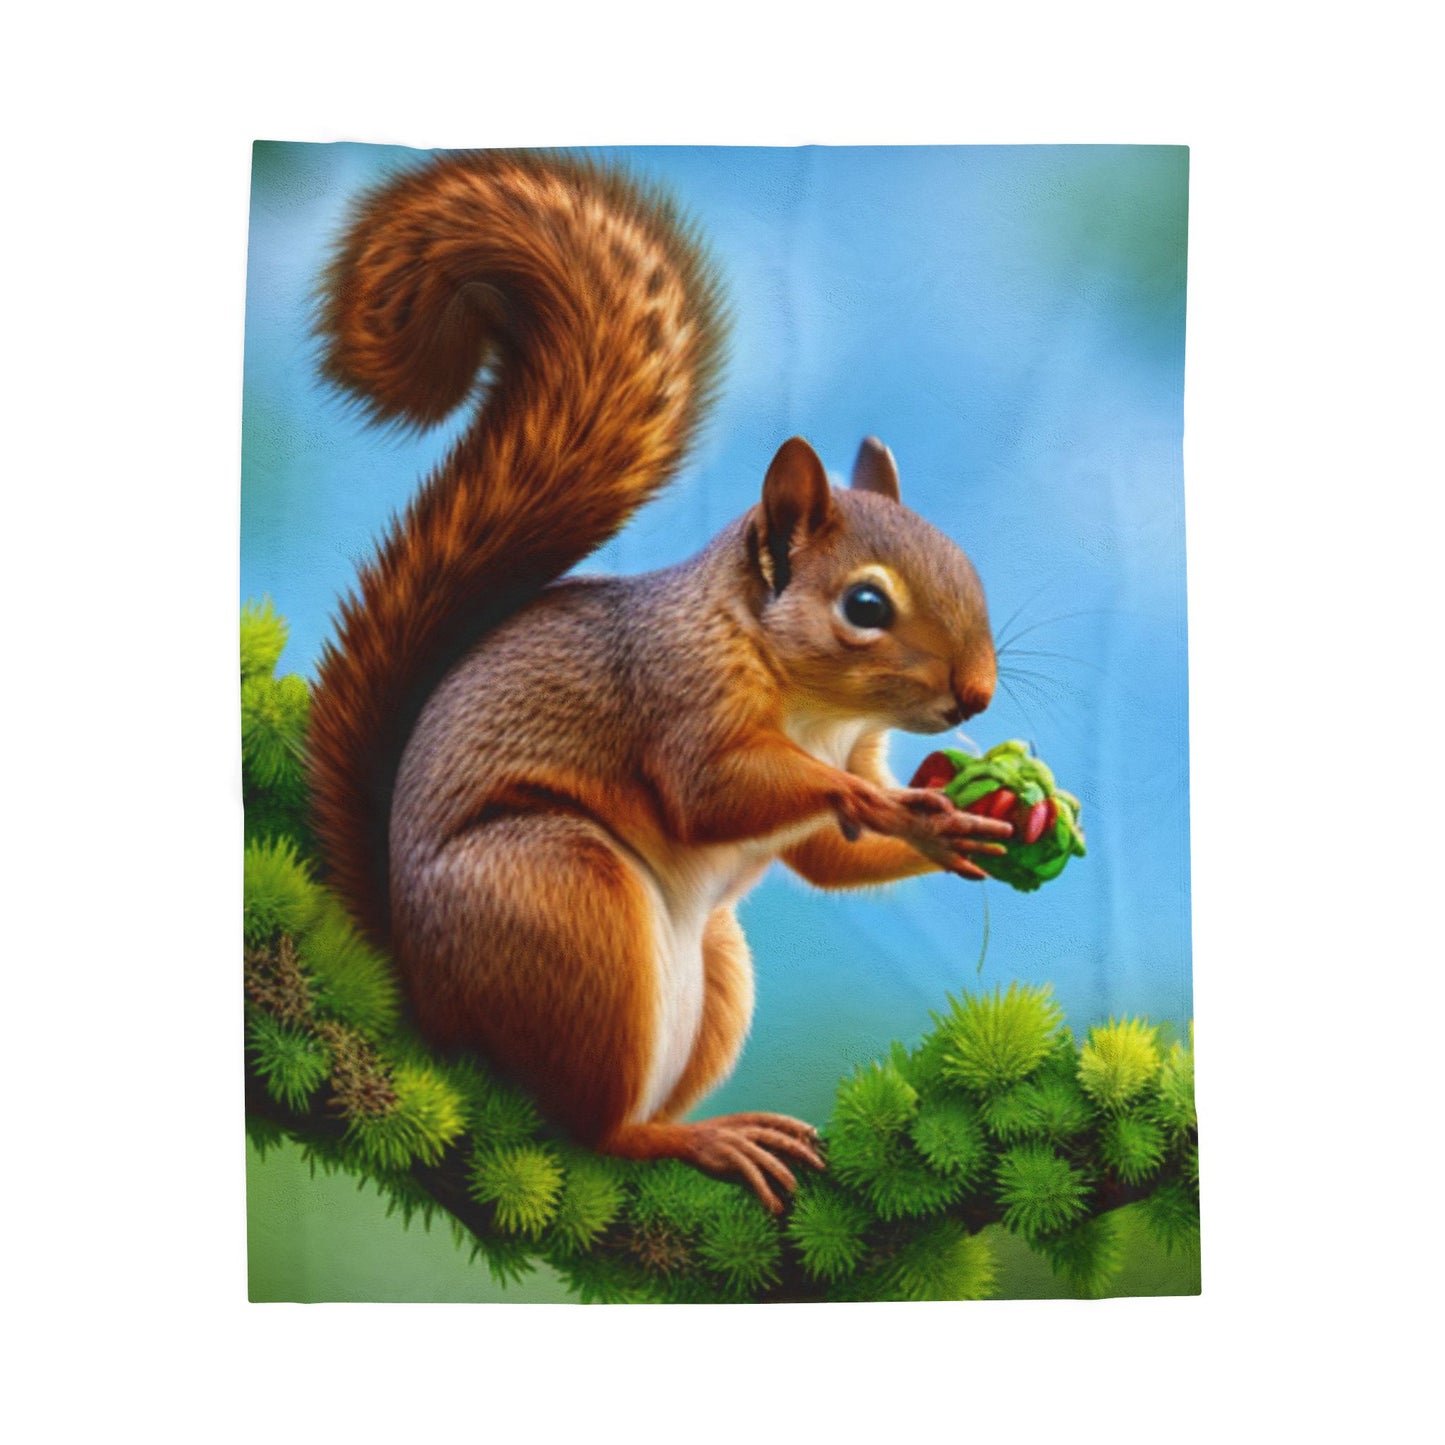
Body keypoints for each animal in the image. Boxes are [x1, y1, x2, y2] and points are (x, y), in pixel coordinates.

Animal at [307, 150, 1011, 1213]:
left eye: (968, 562)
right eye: (865, 605)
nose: (975, 696)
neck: (817, 710)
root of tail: (427, 1002)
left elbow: (824, 860)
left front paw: (954, 822)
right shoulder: (676, 693)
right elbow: (708, 790)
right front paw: (889, 806)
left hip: (714, 964)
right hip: (563, 900)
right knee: (590, 1129)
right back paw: (688, 1140)